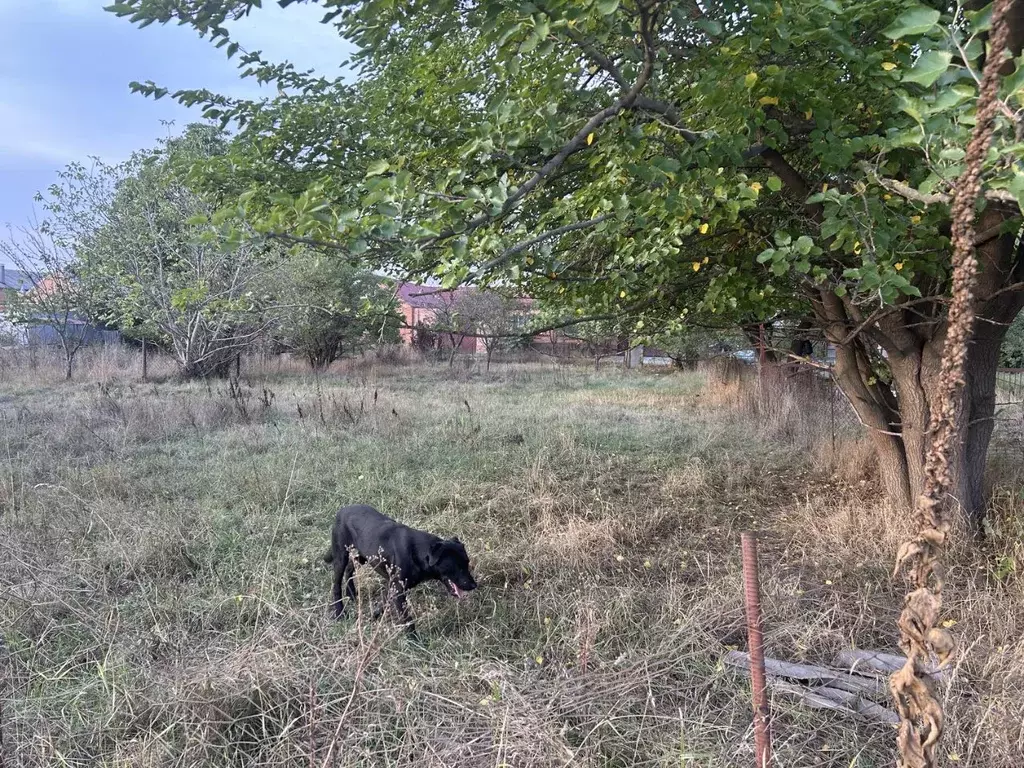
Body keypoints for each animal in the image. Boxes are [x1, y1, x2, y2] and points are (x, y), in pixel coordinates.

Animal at [321, 505, 477, 630]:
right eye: (456, 566)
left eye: (467, 563)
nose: (474, 585)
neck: (418, 553)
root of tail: (341, 510)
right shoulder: (398, 590)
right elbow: (407, 619)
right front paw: (414, 642)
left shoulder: (392, 585)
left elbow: (384, 601)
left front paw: (374, 616)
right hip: (341, 555)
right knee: (336, 583)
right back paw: (339, 612)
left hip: (364, 556)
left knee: (350, 566)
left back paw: (351, 592)